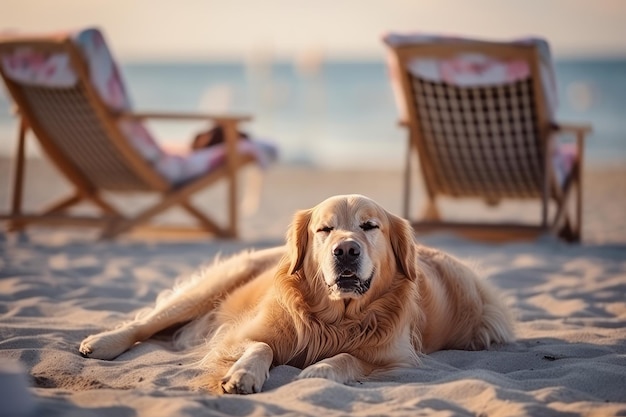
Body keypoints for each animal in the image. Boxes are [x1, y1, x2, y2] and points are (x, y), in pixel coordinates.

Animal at [79, 193, 512, 392]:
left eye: (369, 226)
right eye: (324, 229)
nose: (346, 250)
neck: (334, 317)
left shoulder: (398, 359)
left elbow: (349, 358)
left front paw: (320, 370)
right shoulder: (236, 336)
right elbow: (262, 346)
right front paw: (243, 375)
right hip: (213, 285)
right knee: (146, 323)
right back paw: (101, 342)